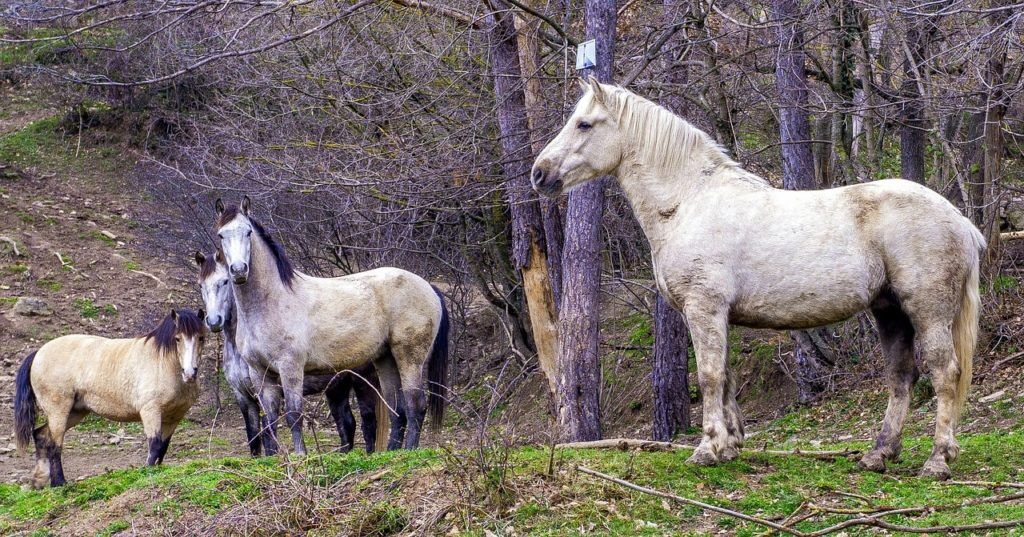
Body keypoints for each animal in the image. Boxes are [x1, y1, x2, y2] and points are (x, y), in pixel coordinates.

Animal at [211, 196, 448, 452]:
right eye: (221, 235)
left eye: (247, 232)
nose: (238, 270)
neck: (270, 302)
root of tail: (429, 288)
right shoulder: (260, 374)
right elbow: (270, 422)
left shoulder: (290, 368)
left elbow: (294, 415)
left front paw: (300, 456)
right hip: (386, 359)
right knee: (398, 410)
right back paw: (391, 453)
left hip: (410, 357)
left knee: (416, 405)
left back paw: (409, 451)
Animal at [532, 77, 987, 479]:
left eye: (584, 124)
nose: (540, 173)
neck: (688, 203)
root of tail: (960, 222)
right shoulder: (718, 315)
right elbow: (727, 376)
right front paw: (731, 445)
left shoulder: (704, 308)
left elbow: (709, 376)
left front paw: (707, 448)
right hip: (890, 312)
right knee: (901, 378)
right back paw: (879, 454)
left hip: (927, 312)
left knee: (945, 373)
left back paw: (938, 460)